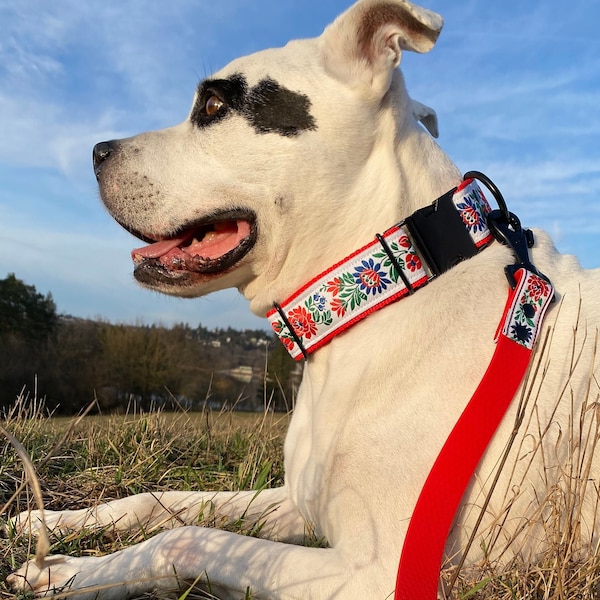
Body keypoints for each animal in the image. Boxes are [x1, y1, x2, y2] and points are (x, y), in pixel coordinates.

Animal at [9, 0, 600, 596]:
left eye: (214, 104)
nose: (96, 151)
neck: (392, 286)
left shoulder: (378, 574)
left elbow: (188, 538)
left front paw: (71, 572)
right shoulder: (300, 501)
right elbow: (171, 502)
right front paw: (52, 522)